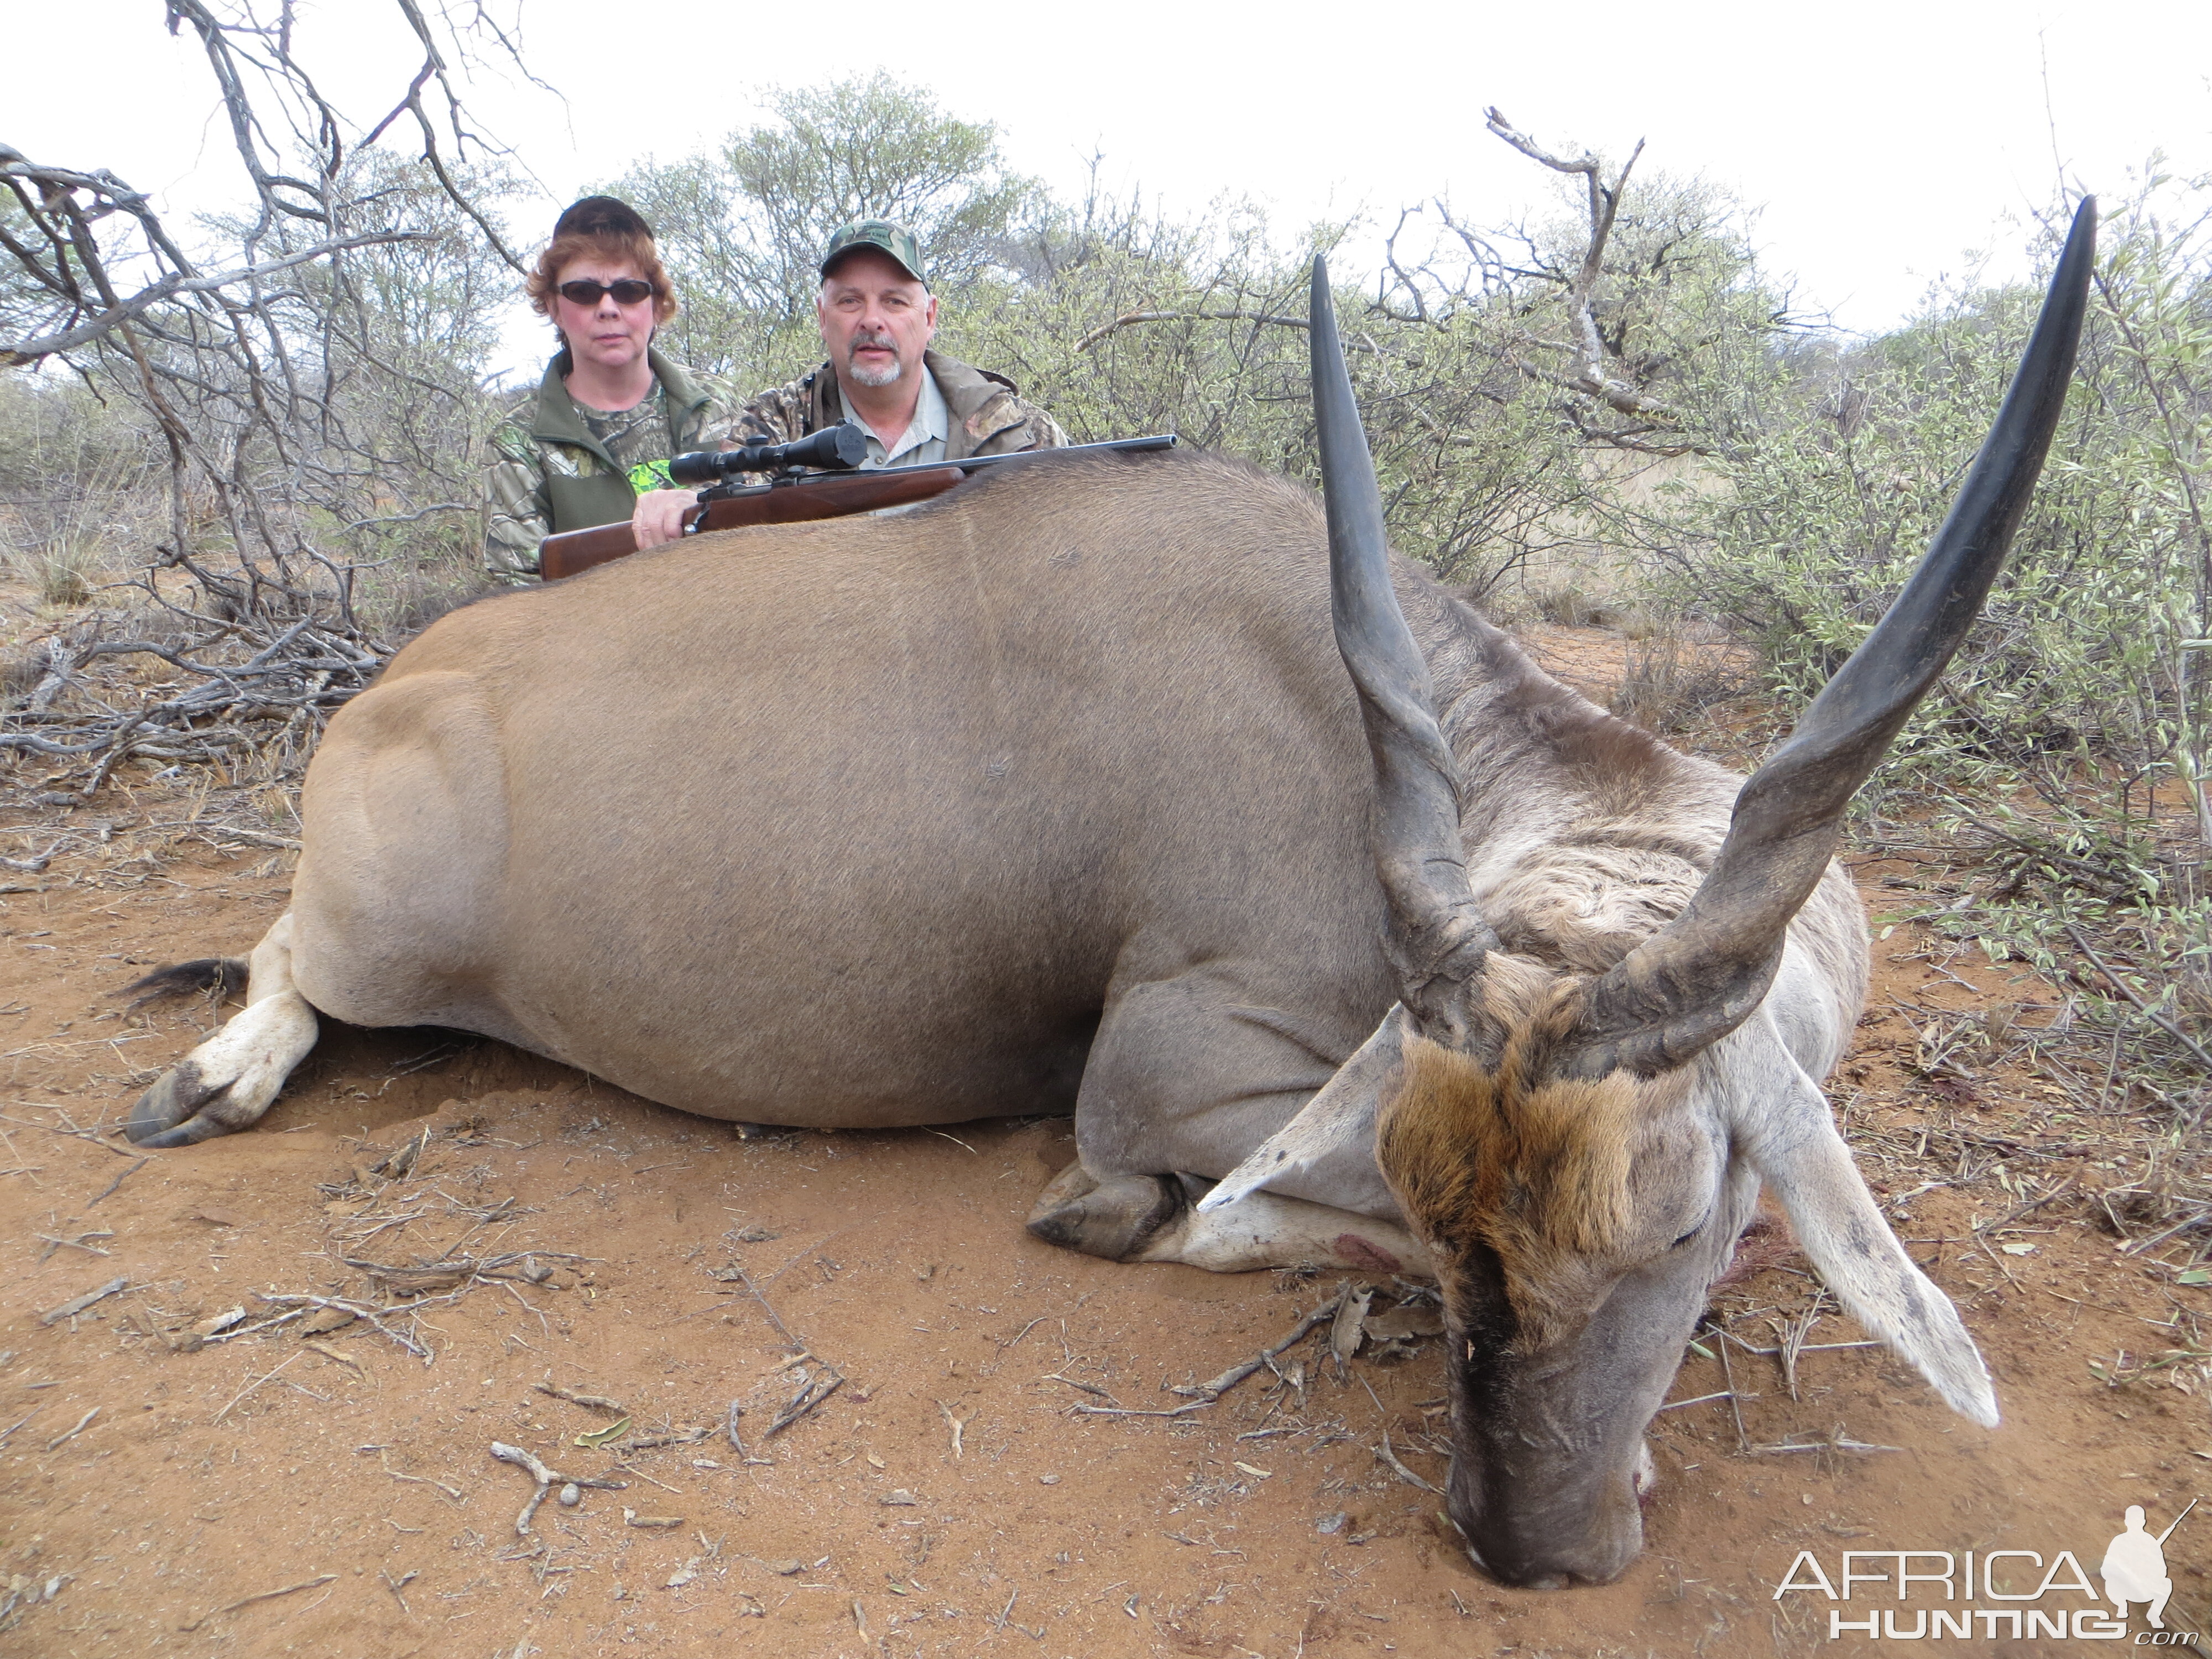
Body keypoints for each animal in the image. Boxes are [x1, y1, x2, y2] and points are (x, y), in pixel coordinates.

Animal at [121, 208, 2088, 1601]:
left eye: (1679, 1229)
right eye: (1446, 1208)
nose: (1531, 1550)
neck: (1417, 749)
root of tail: (397, 684)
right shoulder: (1168, 1073)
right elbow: (1200, 1201)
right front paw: (1113, 1216)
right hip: (386, 944)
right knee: (289, 957)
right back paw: (211, 1079)